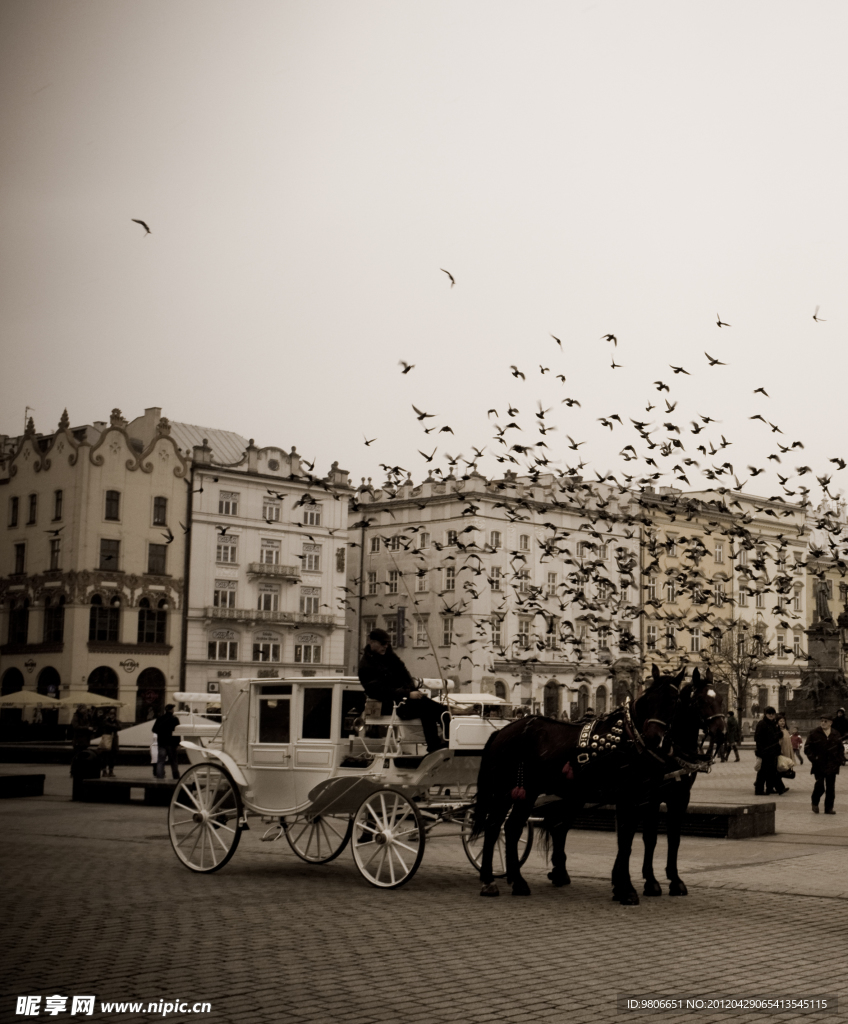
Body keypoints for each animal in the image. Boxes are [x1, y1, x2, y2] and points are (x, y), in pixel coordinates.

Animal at [471, 659, 721, 901]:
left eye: (674, 701)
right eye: (650, 699)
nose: (720, 731)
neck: (632, 739)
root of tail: (503, 730)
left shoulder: (670, 797)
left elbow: (664, 838)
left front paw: (661, 882)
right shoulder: (637, 797)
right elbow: (632, 839)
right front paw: (631, 887)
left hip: (536, 793)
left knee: (513, 828)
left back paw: (514, 880)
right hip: (512, 790)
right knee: (500, 828)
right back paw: (497, 881)